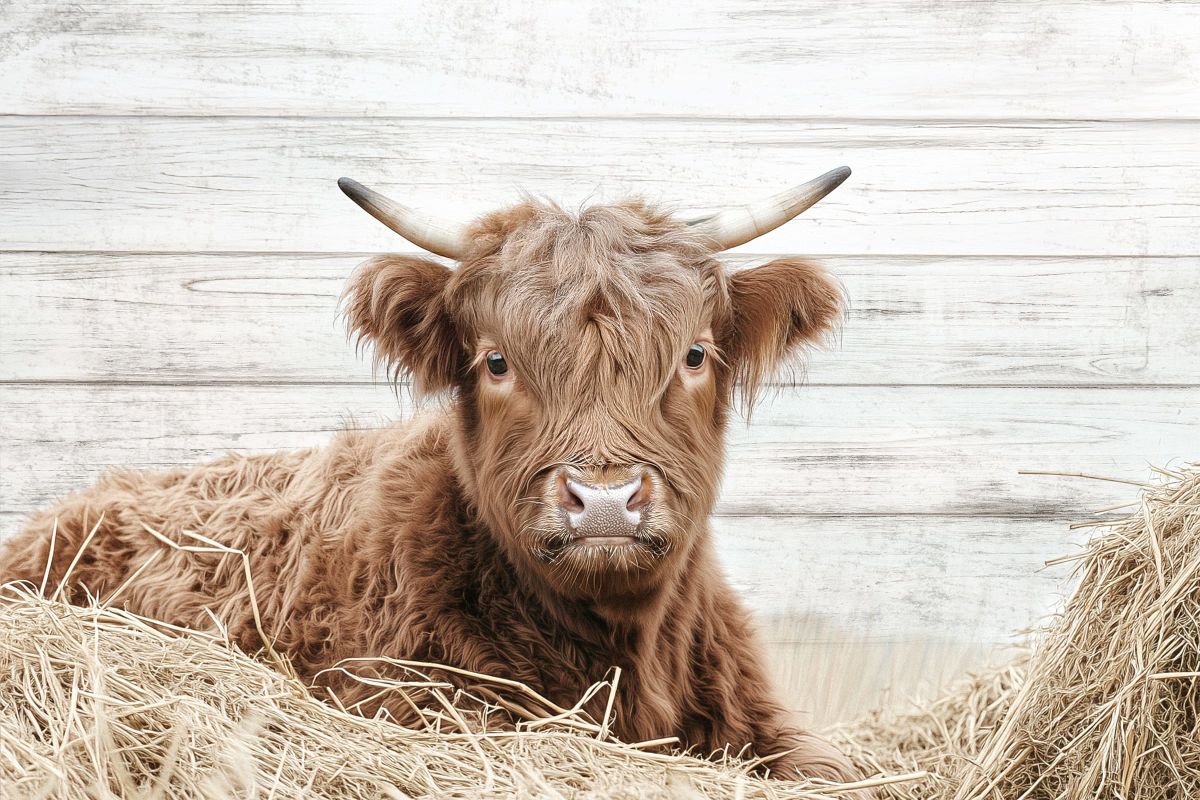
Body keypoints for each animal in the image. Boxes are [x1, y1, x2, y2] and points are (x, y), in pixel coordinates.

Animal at [0, 168, 868, 785]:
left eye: (693, 354)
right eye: (496, 362)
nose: (604, 502)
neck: (626, 648)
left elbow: (830, 768)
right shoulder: (421, 704)